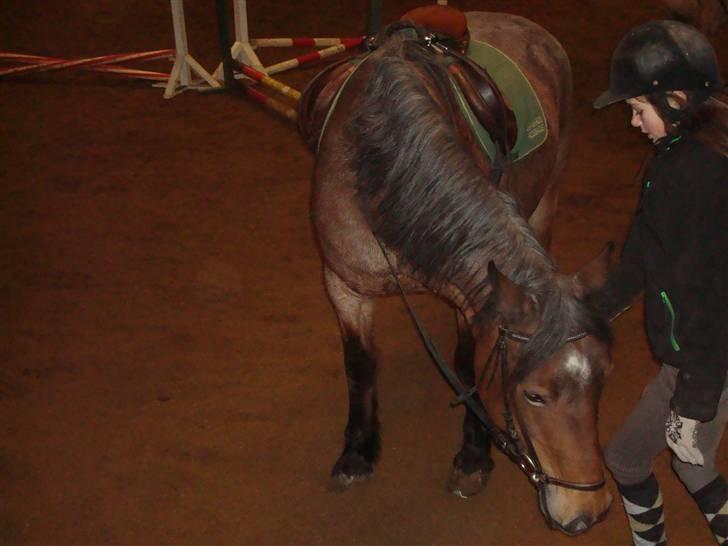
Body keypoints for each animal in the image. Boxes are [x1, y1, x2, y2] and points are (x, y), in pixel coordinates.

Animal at [304, 10, 616, 532]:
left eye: (601, 381)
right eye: (533, 396)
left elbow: (468, 364)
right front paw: (357, 453)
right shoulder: (342, 286)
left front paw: (473, 458)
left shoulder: (470, 300)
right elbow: (359, 364)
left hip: (546, 201)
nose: (588, 512)